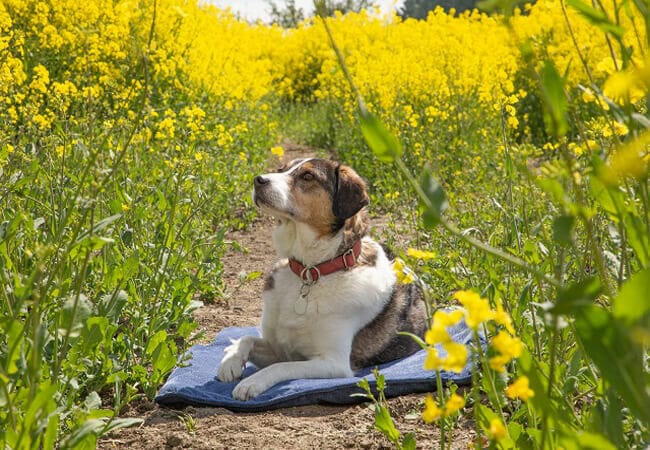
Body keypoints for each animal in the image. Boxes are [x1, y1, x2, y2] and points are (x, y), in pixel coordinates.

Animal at [216, 158, 426, 400]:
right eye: (281, 170)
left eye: (307, 176)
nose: (258, 179)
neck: (311, 272)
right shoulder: (278, 348)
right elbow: (248, 338)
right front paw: (230, 360)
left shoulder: (334, 363)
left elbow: (281, 367)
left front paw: (252, 382)